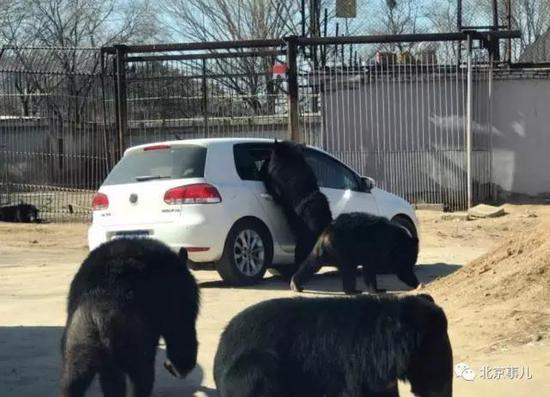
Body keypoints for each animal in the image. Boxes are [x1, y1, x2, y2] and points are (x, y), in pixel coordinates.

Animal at [60, 238, 201, 396]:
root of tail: (98, 311)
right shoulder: (178, 297)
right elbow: (181, 331)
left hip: (80, 337)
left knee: (75, 381)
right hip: (132, 336)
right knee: (142, 377)